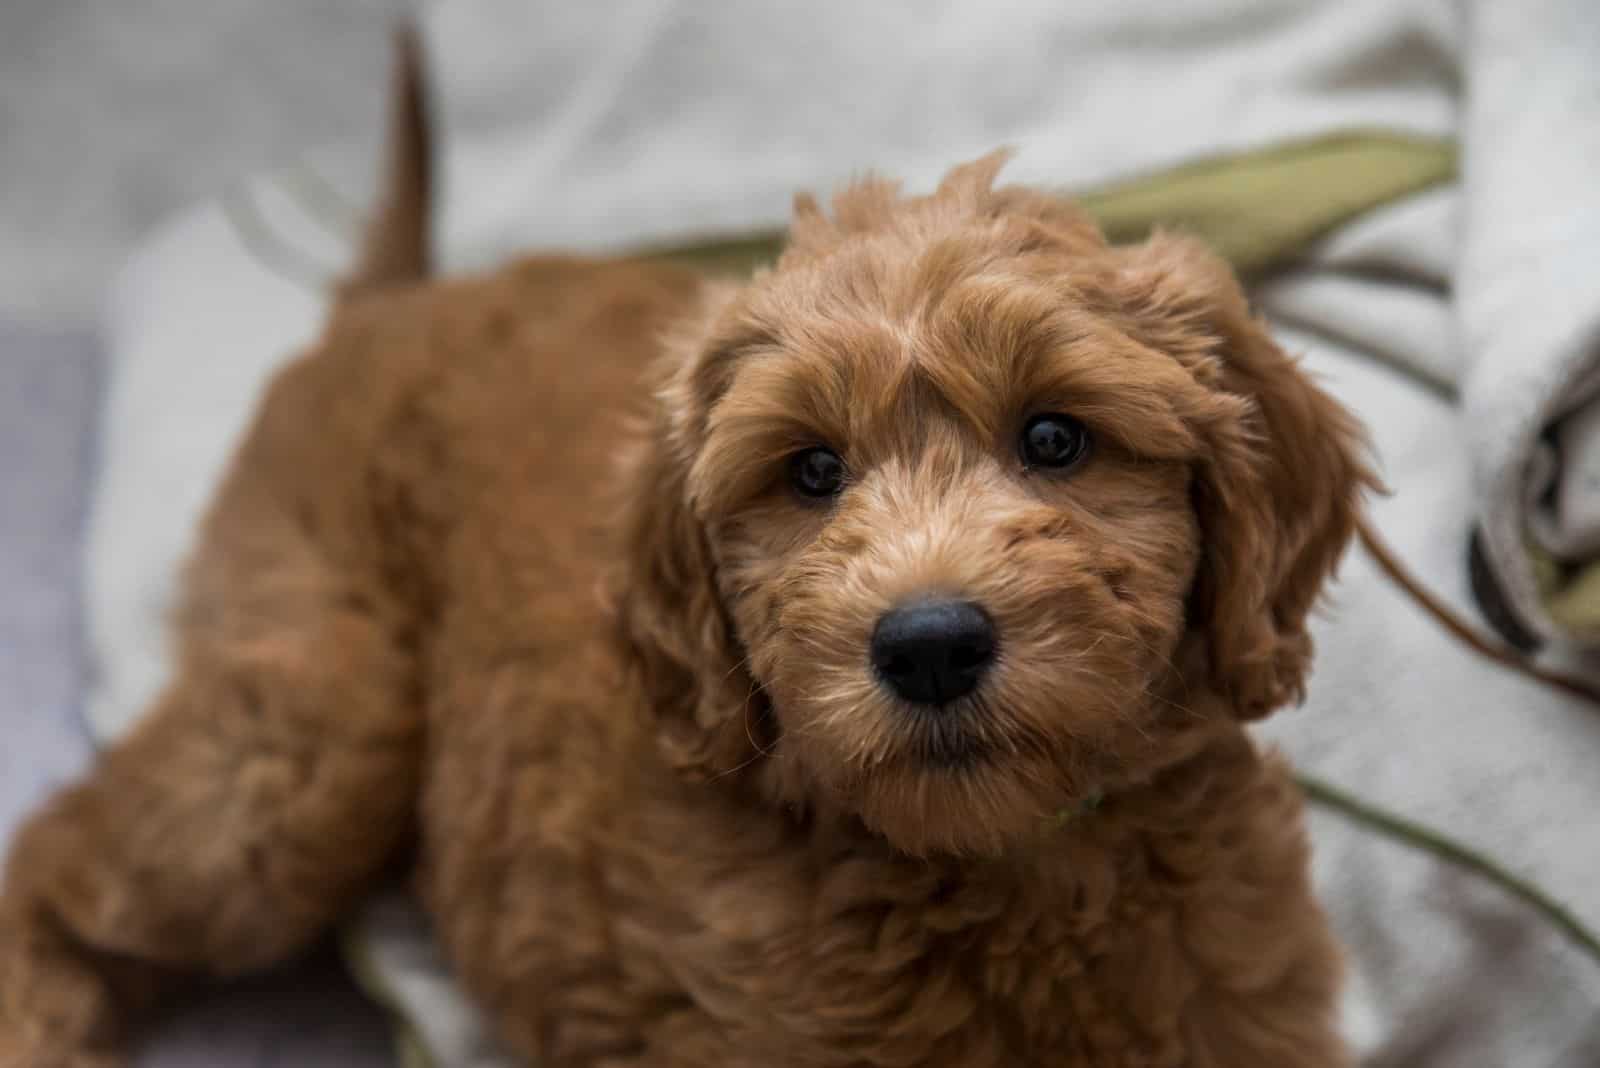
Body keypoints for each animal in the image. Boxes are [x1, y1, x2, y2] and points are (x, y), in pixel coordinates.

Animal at [6, 64, 1369, 1068]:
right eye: (810, 471)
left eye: (1054, 439)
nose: (928, 646)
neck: (999, 871)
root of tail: (388, 307)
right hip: (317, 733)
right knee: (60, 851)